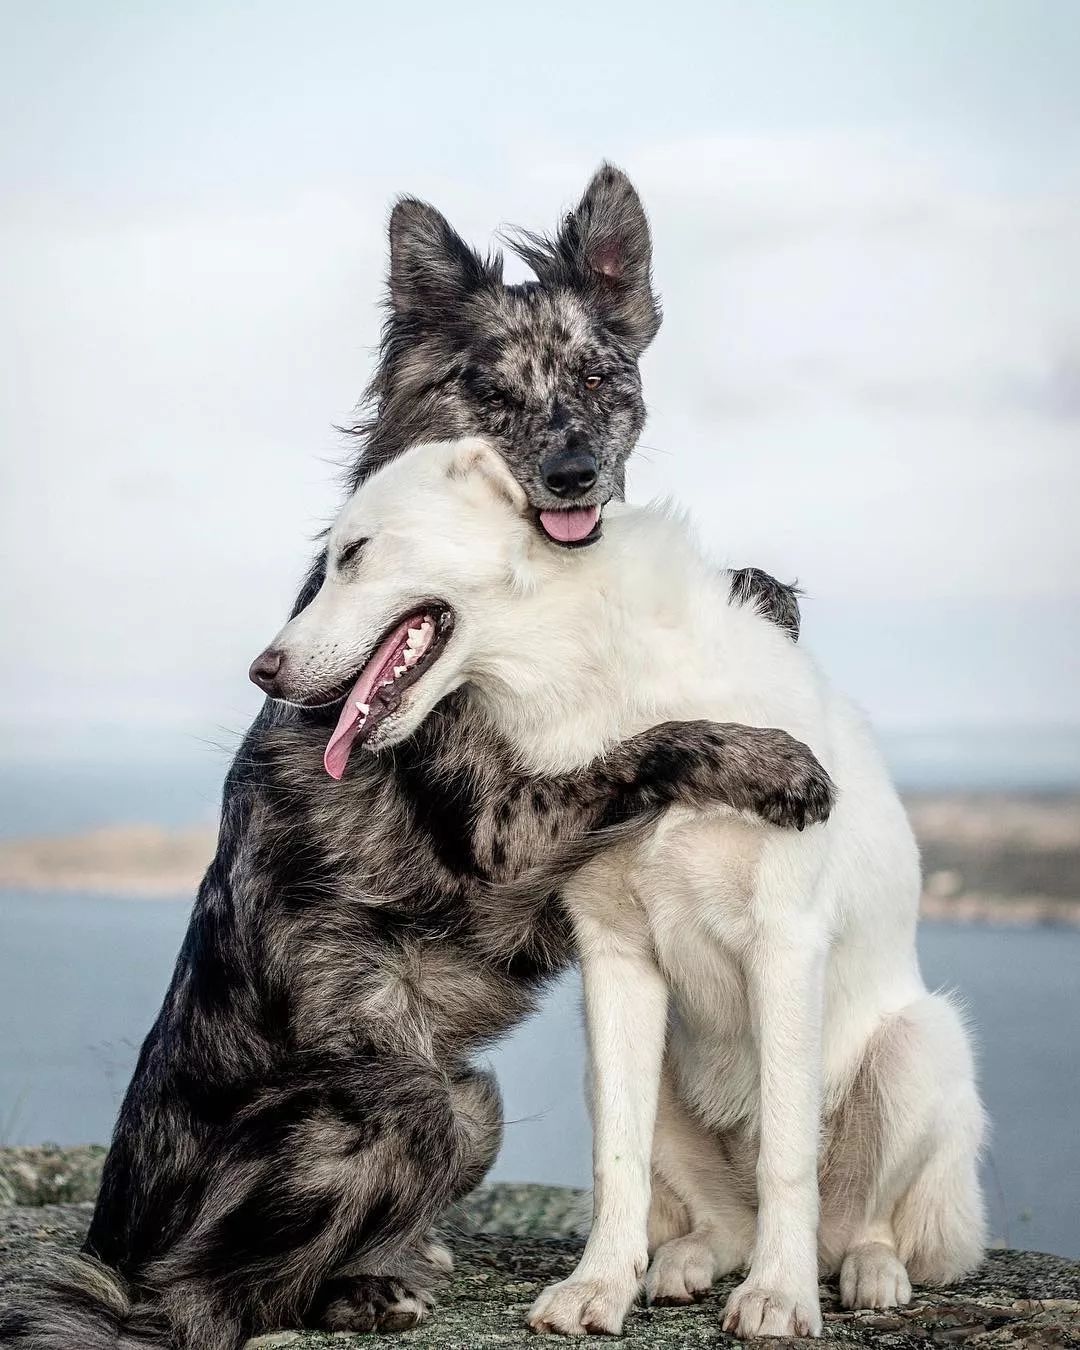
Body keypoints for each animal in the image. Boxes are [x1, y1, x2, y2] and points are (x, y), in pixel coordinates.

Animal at [0, 168, 820, 1350]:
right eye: (490, 390)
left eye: (601, 376)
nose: (573, 475)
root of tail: (115, 1252)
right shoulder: (506, 831)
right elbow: (650, 742)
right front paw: (774, 760)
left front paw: (761, 592)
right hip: (404, 1108)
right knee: (208, 1302)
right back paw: (349, 1289)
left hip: (472, 1107)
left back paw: (382, 1272)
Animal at [263, 437, 988, 1333]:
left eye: (354, 552)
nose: (263, 671)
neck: (594, 669)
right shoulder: (615, 960)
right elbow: (619, 1160)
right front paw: (599, 1285)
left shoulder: (785, 944)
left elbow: (788, 1156)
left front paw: (778, 1298)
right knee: (722, 1223)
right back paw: (682, 1264)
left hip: (918, 1047)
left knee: (868, 1224)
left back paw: (861, 1273)